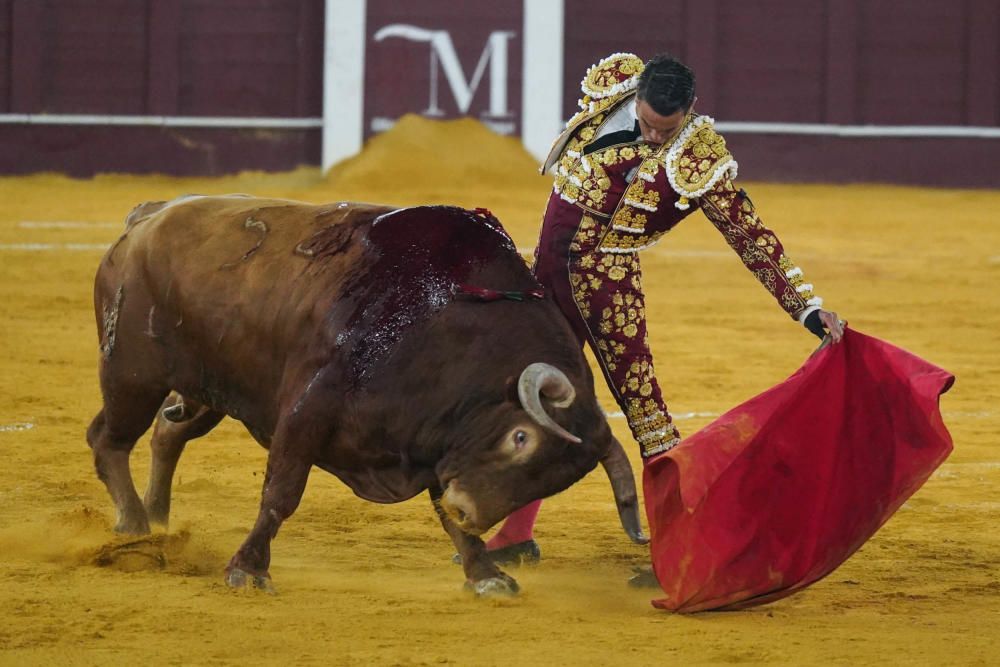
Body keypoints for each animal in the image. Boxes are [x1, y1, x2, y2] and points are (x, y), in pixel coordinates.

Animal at [88, 196, 648, 596]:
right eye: (520, 438)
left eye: (555, 481)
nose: (471, 509)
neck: (447, 324)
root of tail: (146, 218)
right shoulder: (308, 410)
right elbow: (281, 494)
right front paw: (248, 570)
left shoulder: (435, 447)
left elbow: (445, 516)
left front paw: (486, 573)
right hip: (133, 374)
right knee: (109, 439)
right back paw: (133, 526)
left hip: (209, 389)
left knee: (167, 432)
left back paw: (157, 520)